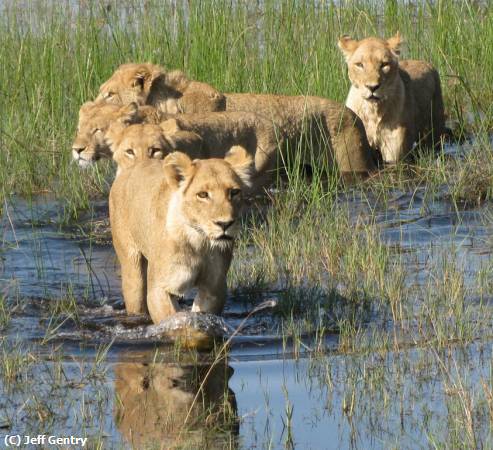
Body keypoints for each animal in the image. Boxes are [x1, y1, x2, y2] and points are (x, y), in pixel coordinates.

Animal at [109, 146, 252, 326]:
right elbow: (170, 319)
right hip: (132, 268)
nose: (225, 224)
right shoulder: (159, 288)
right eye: (203, 195)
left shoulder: (214, 287)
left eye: (234, 192)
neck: (199, 241)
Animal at [338, 33, 446, 163]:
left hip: (435, 129)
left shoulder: (394, 152)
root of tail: (426, 63)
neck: (373, 110)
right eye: (359, 64)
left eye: (384, 64)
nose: (372, 87)